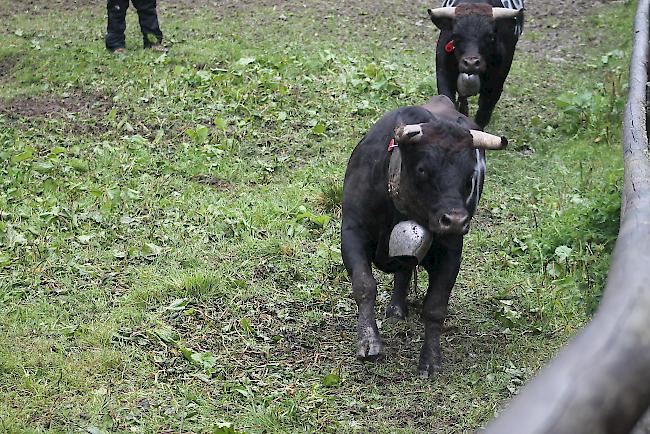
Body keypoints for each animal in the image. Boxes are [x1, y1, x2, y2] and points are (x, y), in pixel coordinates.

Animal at [340, 96, 506, 378]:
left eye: (470, 175)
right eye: (422, 170)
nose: (455, 220)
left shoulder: (451, 251)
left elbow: (435, 306)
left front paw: (430, 359)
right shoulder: (352, 231)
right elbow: (364, 286)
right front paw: (368, 341)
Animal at [428, 0, 524, 128]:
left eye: (490, 36)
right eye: (455, 36)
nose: (471, 63)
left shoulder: (495, 85)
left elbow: (483, 115)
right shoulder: (443, 75)